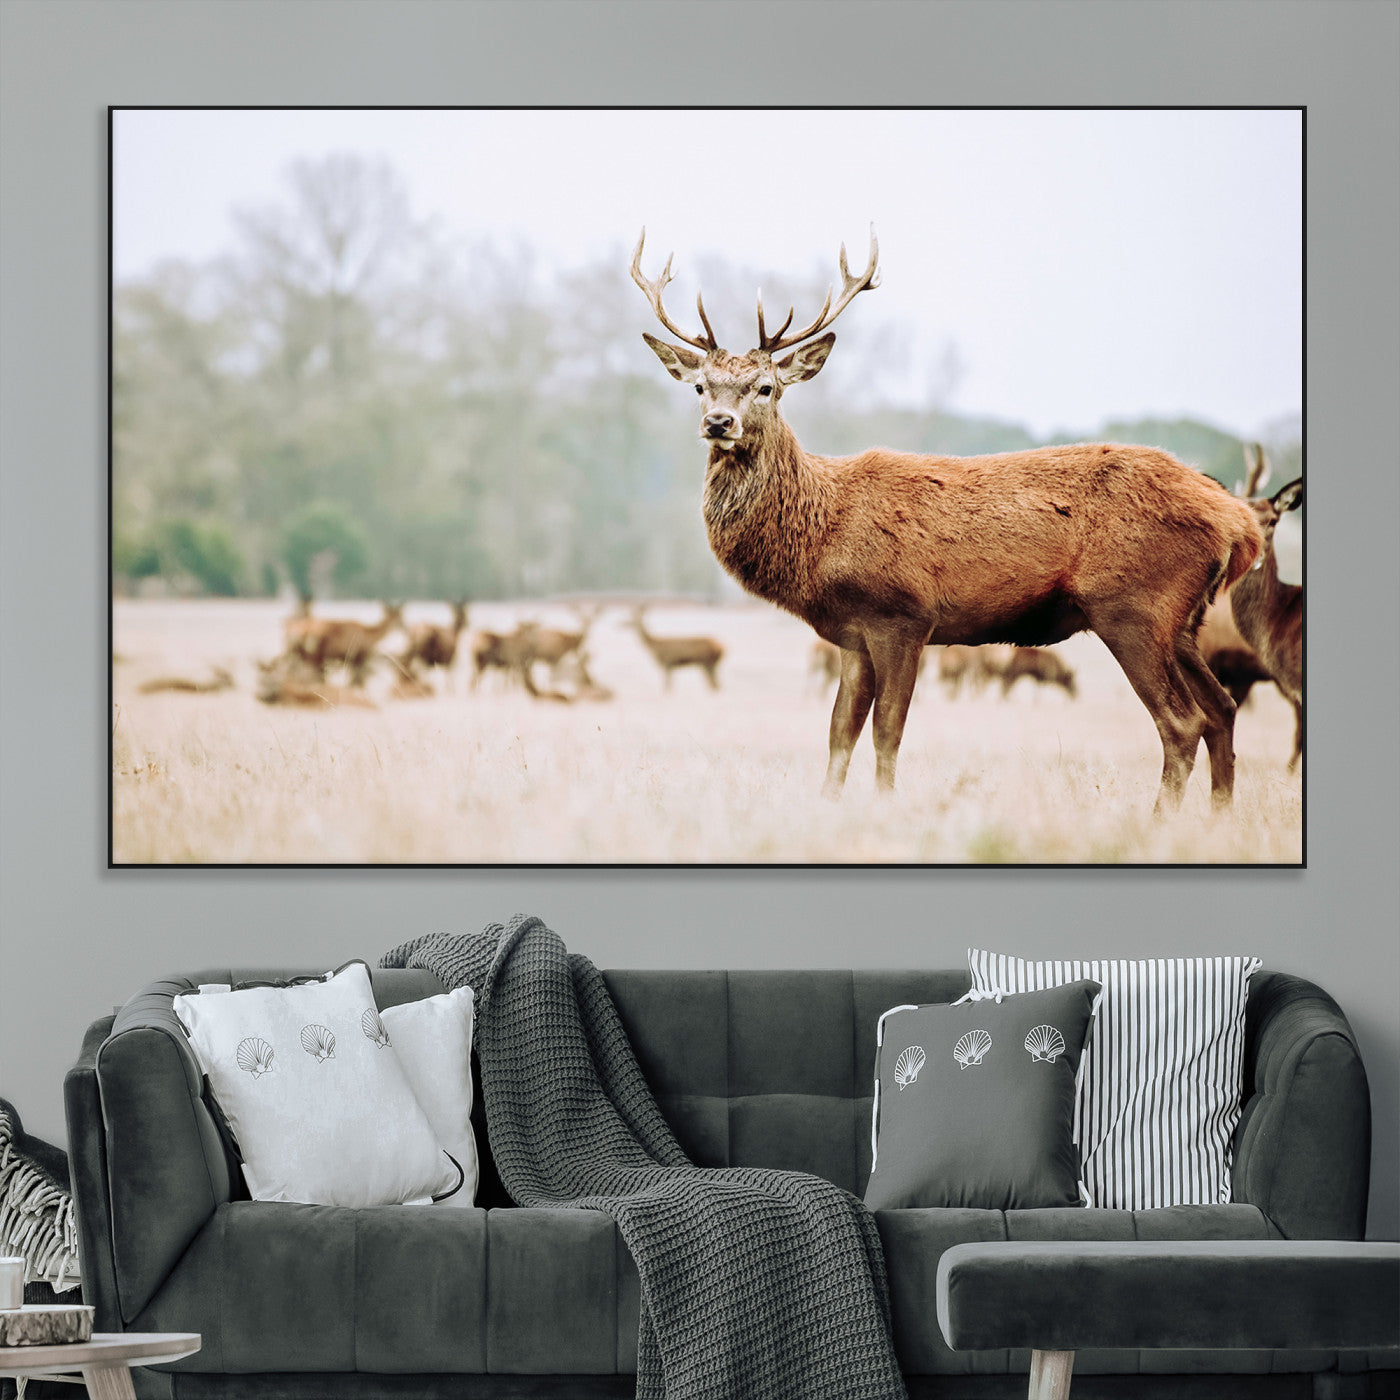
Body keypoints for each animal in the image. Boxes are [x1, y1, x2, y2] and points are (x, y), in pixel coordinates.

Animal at [633, 227, 1263, 812]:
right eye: (700, 385)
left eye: (766, 387)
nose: (719, 422)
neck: (822, 533)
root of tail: (1240, 522)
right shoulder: (852, 634)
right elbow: (839, 734)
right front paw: (828, 807)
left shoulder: (903, 615)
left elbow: (887, 732)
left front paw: (886, 807)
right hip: (1183, 622)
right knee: (1223, 709)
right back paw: (1219, 818)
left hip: (1132, 605)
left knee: (1182, 722)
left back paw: (1159, 822)